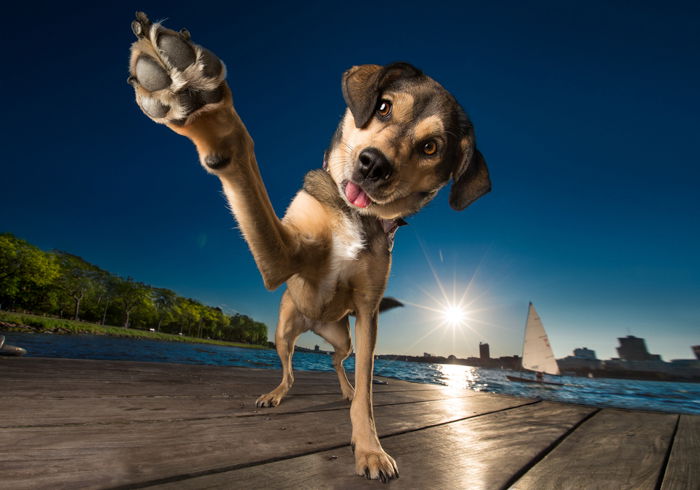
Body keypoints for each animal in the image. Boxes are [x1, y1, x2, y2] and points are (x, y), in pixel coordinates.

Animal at [129, 12, 492, 482]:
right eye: (383, 107)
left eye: (431, 147)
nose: (372, 165)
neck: (356, 216)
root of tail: (314, 324)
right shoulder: (283, 258)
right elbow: (245, 174)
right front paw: (197, 100)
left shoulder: (368, 313)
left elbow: (368, 394)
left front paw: (370, 448)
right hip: (284, 331)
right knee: (289, 372)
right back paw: (275, 393)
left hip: (344, 335)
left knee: (339, 361)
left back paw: (344, 389)